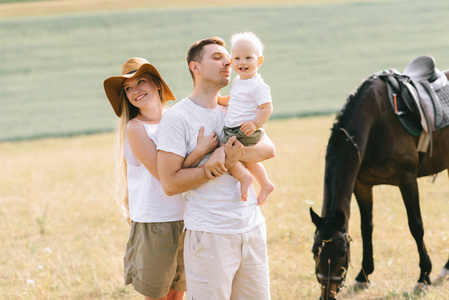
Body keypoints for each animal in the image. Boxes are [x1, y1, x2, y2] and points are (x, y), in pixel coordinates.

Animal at [310, 62, 446, 298]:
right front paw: (363, 276)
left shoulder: (407, 179)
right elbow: (367, 227)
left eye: (341, 252)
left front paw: (424, 277)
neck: (376, 122)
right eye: (314, 251)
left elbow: (416, 226)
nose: (327, 294)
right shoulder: (362, 185)